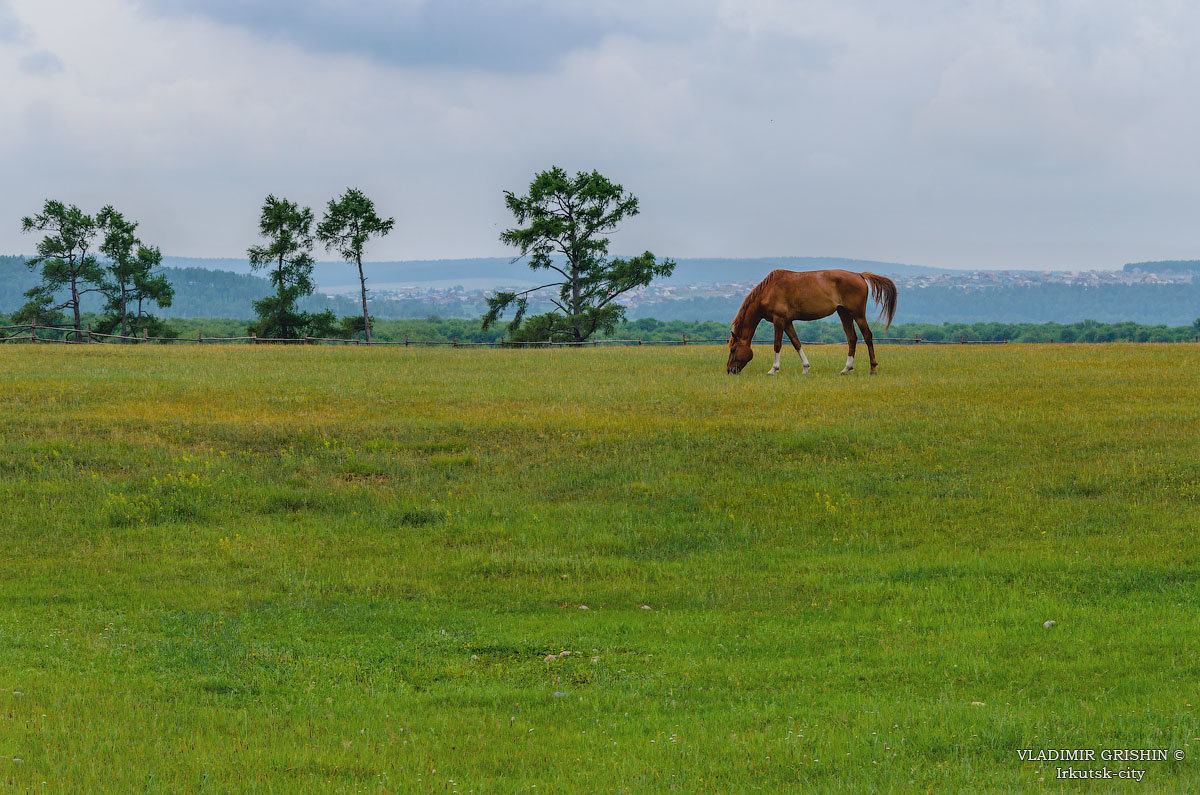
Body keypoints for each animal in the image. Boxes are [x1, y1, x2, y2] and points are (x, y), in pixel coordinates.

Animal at [724, 271, 897, 377]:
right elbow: (796, 343)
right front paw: (806, 368)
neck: (769, 290)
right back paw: (846, 369)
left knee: (867, 336)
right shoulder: (787, 322)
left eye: (733, 349)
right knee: (852, 338)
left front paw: (773, 369)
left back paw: (873, 368)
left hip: (858, 314)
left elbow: (777, 344)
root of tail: (859, 275)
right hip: (844, 313)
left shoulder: (779, 320)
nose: (729, 370)